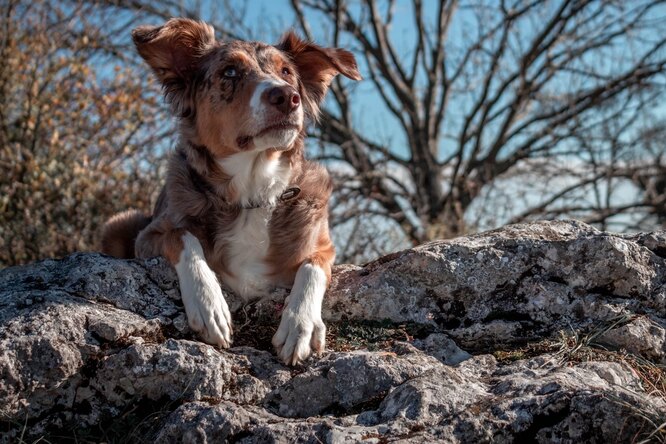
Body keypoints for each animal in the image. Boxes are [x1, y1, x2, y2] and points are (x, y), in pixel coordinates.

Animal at [100, 17, 358, 364]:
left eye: (286, 72)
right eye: (230, 72)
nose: (288, 97)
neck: (253, 192)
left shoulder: (324, 246)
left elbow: (311, 267)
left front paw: (300, 324)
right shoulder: (149, 236)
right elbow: (182, 236)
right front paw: (209, 305)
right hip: (119, 223)